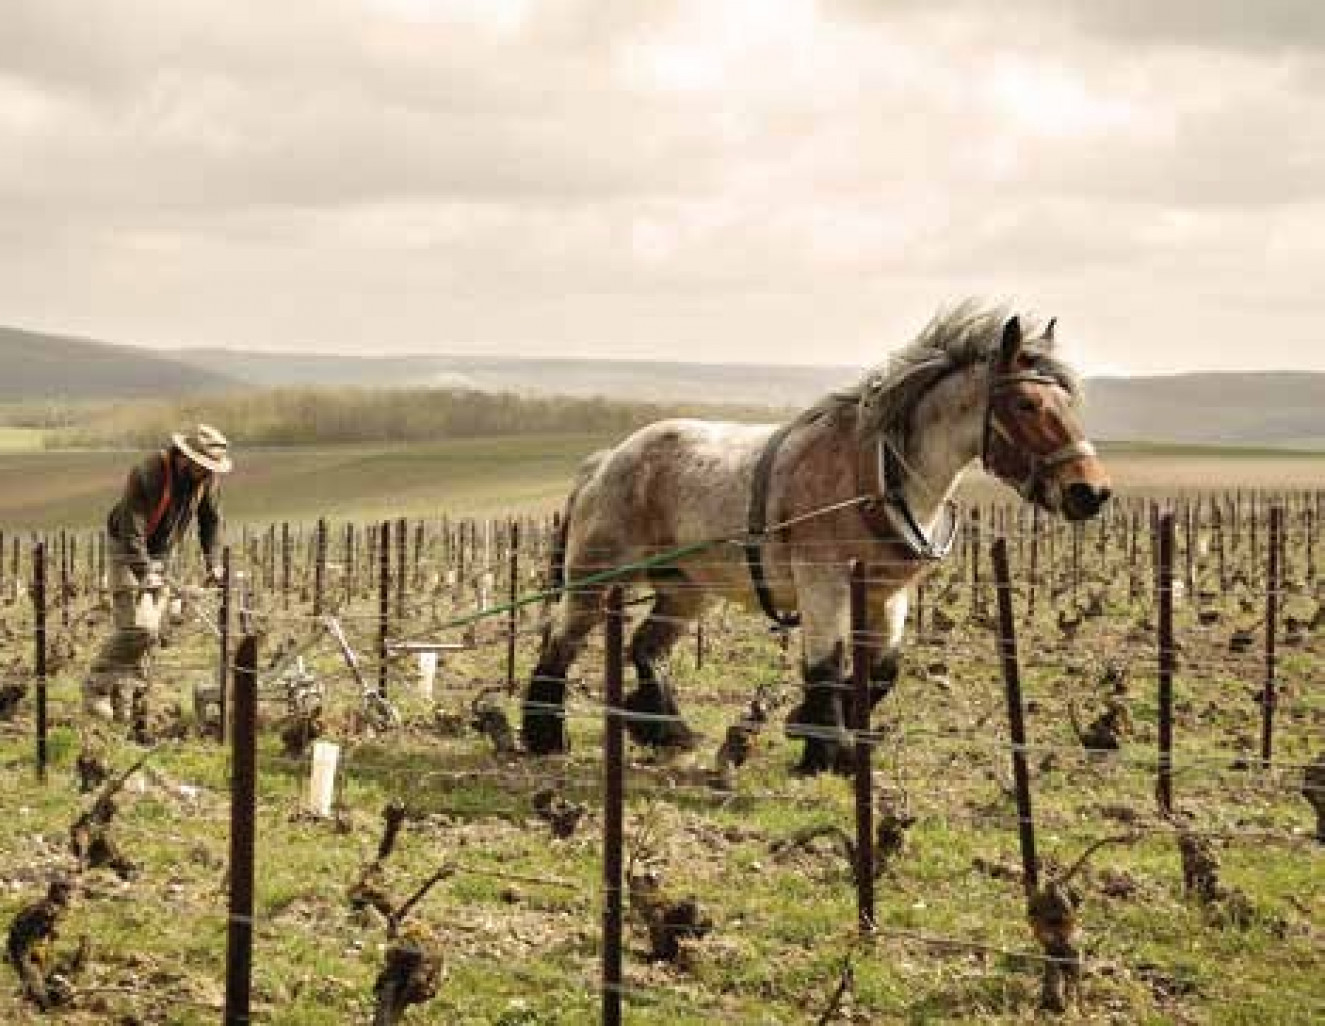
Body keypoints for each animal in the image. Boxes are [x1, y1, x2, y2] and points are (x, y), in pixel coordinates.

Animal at [522, 296, 1113, 774]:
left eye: (1069, 404)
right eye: (1027, 404)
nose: (1092, 492)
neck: (877, 479)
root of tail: (605, 460)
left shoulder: (888, 595)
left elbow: (880, 673)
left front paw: (814, 727)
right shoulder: (821, 583)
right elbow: (826, 667)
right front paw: (826, 752)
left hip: (686, 588)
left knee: (646, 648)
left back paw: (665, 732)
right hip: (596, 578)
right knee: (560, 643)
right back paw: (543, 734)